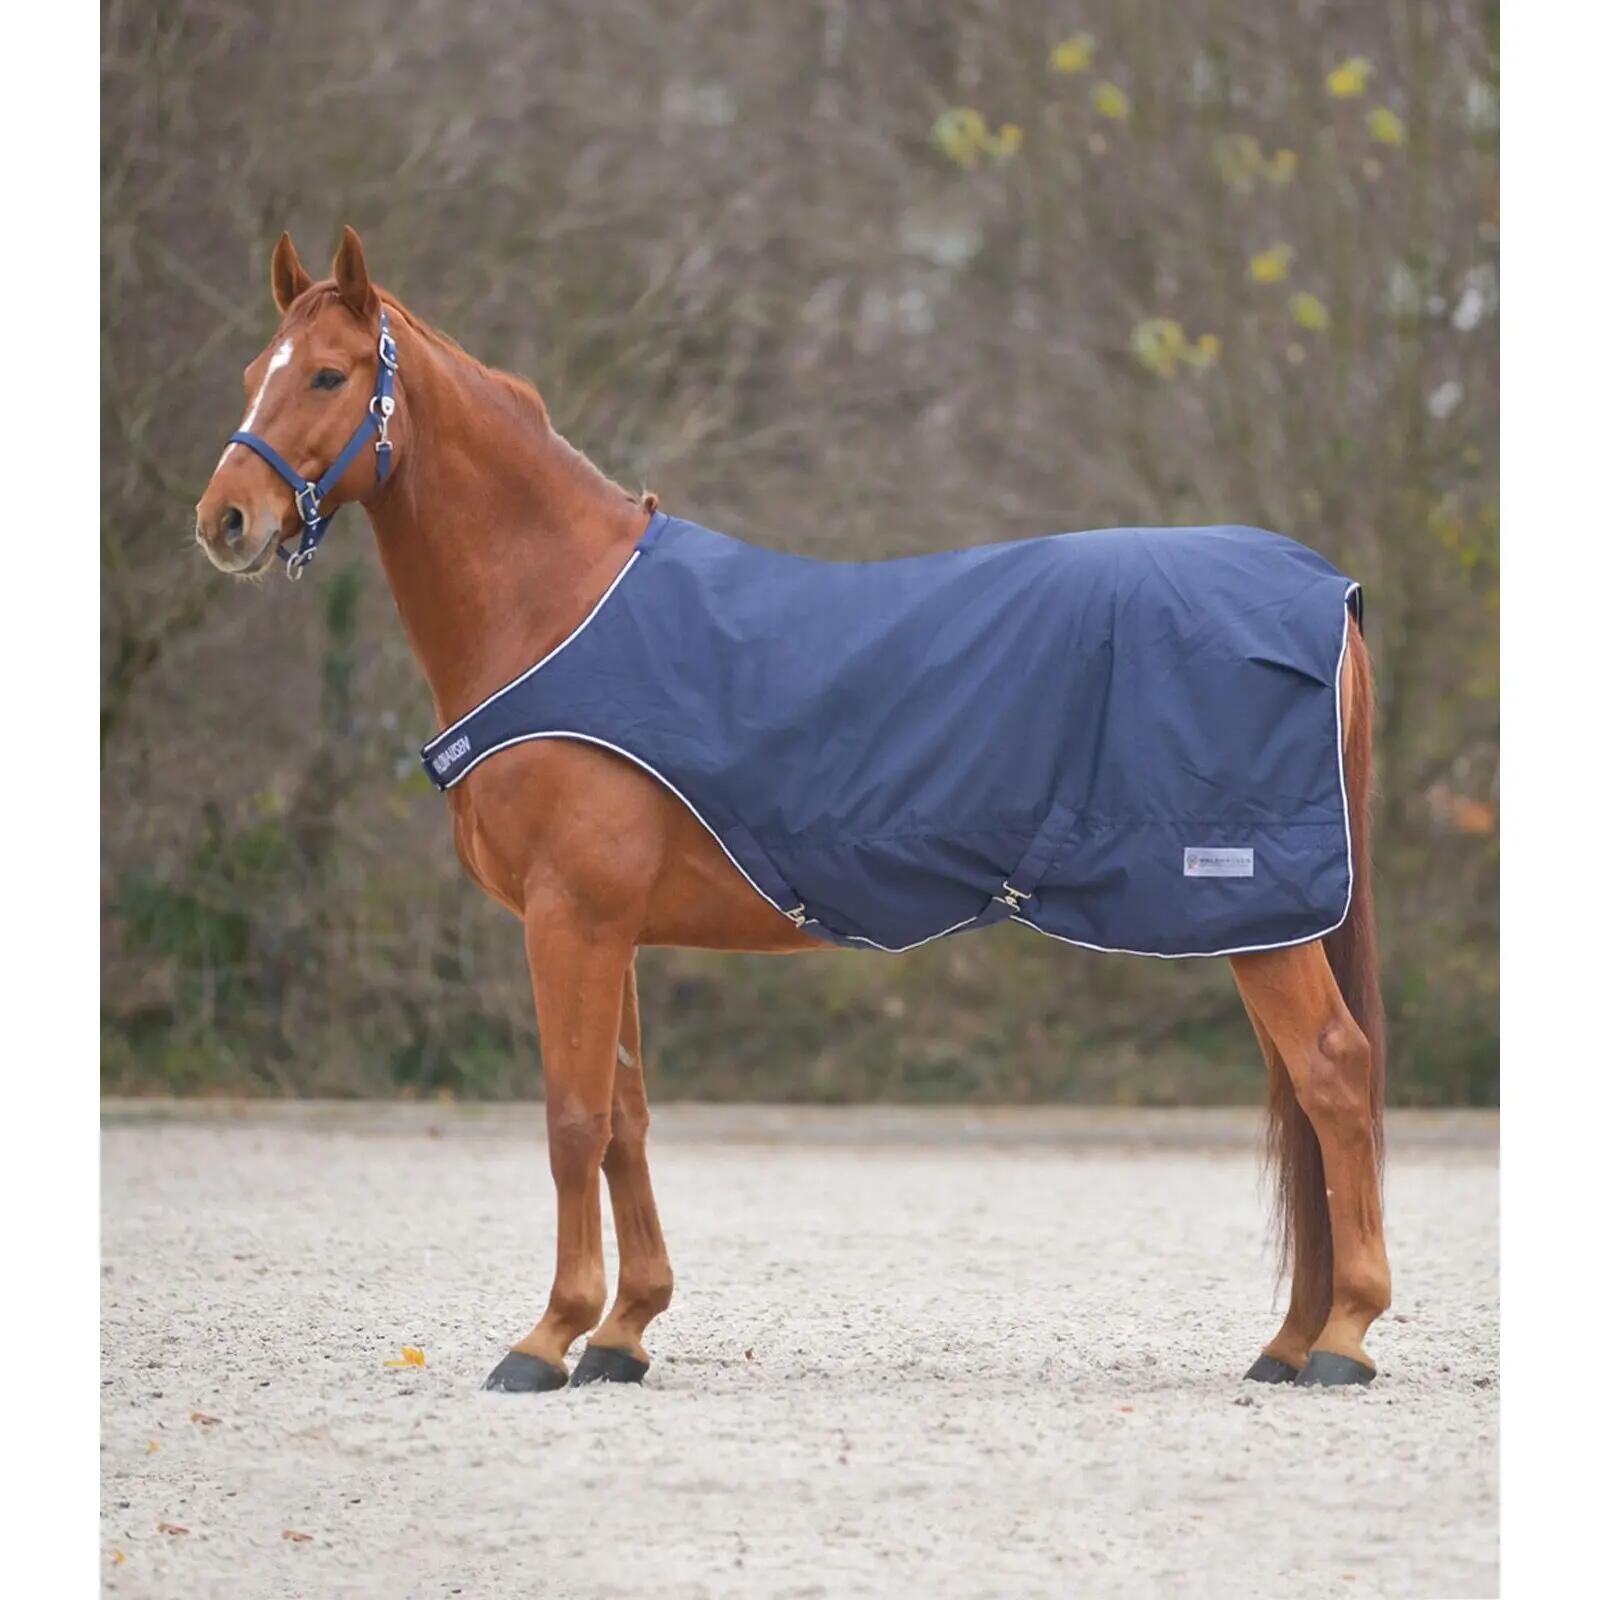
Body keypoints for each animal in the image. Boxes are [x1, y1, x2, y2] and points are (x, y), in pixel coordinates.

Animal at [194, 227, 1390, 1394]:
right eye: (253, 373)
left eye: (330, 374)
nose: (224, 520)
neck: (559, 610)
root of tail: (1322, 593)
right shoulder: (609, 930)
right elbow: (625, 1120)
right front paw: (624, 1332)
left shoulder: (570, 919)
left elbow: (572, 1121)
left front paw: (547, 1337)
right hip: (1257, 919)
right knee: (1300, 1090)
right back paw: (1290, 1341)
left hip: (1251, 909)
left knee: (1333, 1072)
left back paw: (1343, 1337)